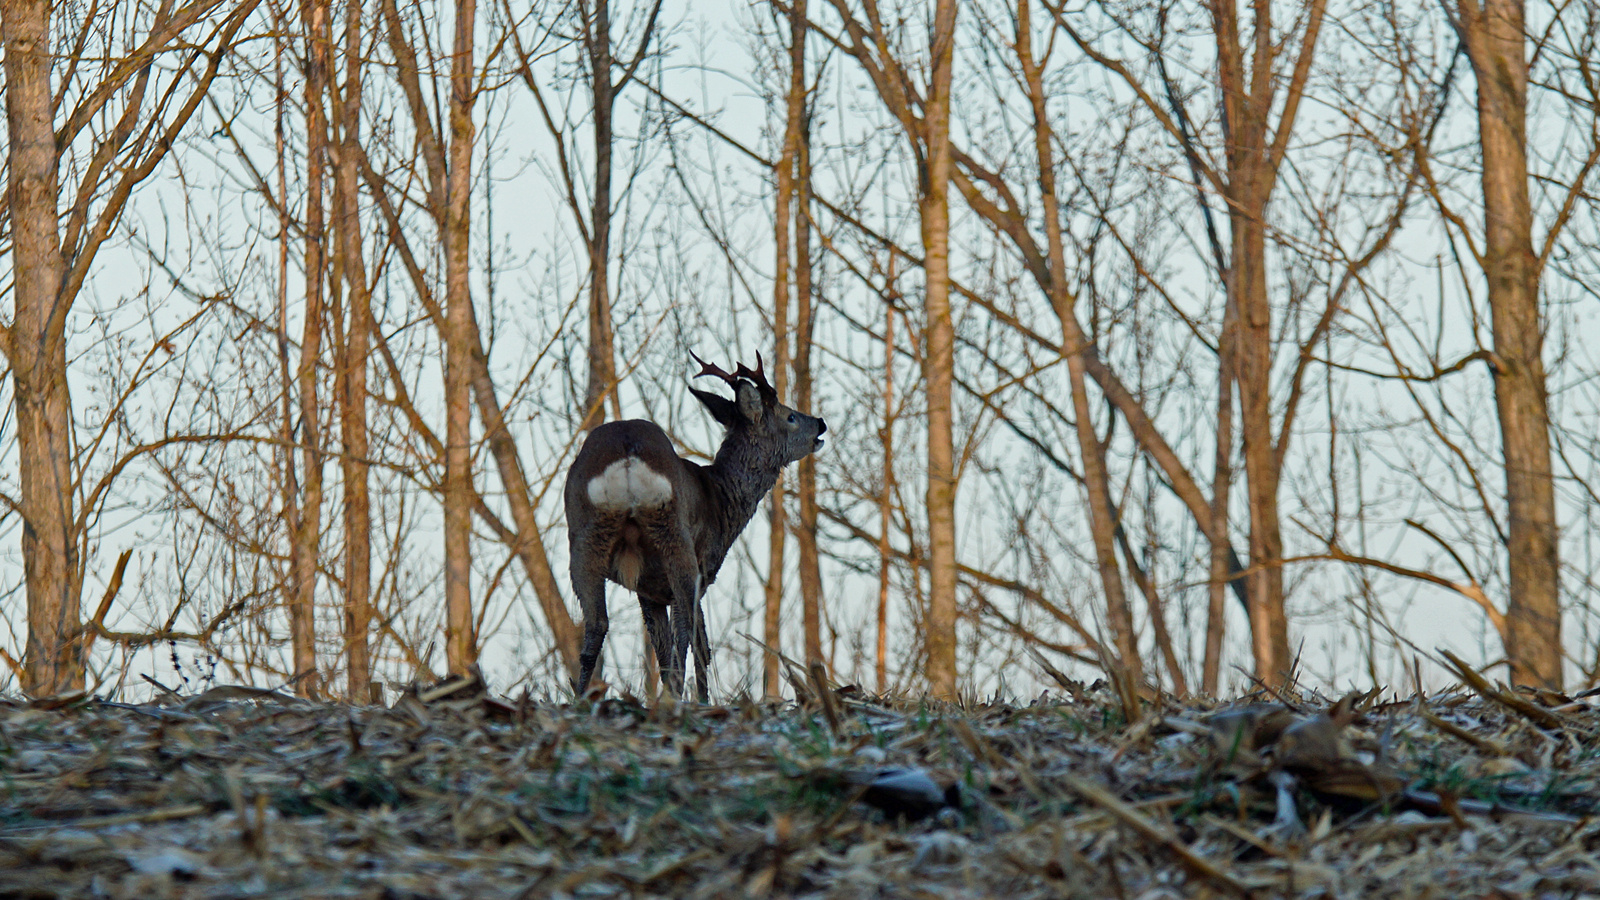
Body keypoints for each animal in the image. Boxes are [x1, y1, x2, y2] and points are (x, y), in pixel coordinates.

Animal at [566, 353, 825, 698]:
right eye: (790, 416)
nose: (820, 423)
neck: (721, 498)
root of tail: (627, 449)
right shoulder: (702, 570)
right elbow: (700, 645)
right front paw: (700, 698)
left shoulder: (648, 589)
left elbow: (661, 648)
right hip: (675, 535)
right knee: (685, 632)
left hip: (585, 532)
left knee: (596, 624)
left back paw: (582, 699)